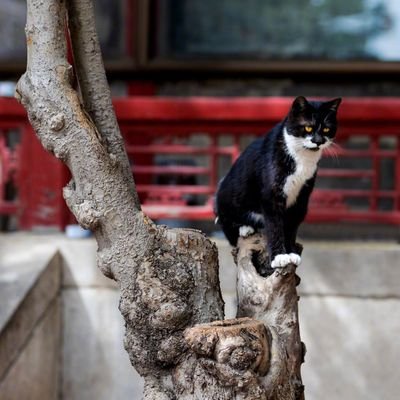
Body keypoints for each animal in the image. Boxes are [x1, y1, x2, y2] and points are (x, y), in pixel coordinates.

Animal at [216, 96, 340, 268]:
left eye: (327, 129)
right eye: (308, 128)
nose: (318, 141)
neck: (302, 158)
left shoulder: (301, 197)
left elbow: (291, 226)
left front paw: (291, 253)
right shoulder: (271, 195)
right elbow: (275, 227)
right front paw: (279, 257)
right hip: (226, 194)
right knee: (225, 222)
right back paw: (244, 228)